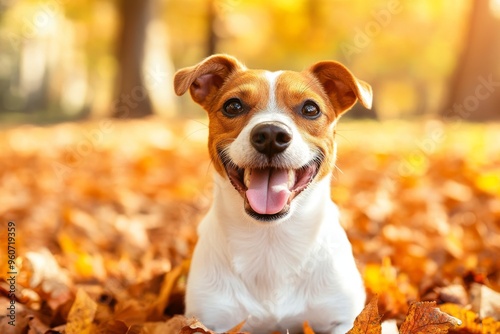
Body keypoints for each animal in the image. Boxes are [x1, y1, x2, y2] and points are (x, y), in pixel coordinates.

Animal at [172, 54, 372, 334]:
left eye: (310, 109)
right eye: (233, 106)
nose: (270, 134)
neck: (270, 242)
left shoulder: (342, 318)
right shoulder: (211, 320)